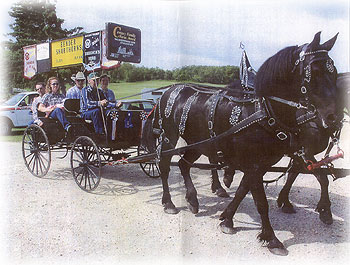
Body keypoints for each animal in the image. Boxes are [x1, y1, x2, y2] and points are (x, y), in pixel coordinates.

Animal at [142, 32, 340, 255]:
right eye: (314, 72)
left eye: (334, 72)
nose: (333, 118)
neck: (264, 111)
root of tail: (169, 90)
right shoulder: (257, 163)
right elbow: (261, 202)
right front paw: (272, 238)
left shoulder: (260, 164)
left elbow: (243, 190)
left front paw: (227, 219)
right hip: (169, 136)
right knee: (165, 166)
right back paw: (168, 202)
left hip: (199, 142)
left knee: (184, 164)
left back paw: (193, 199)